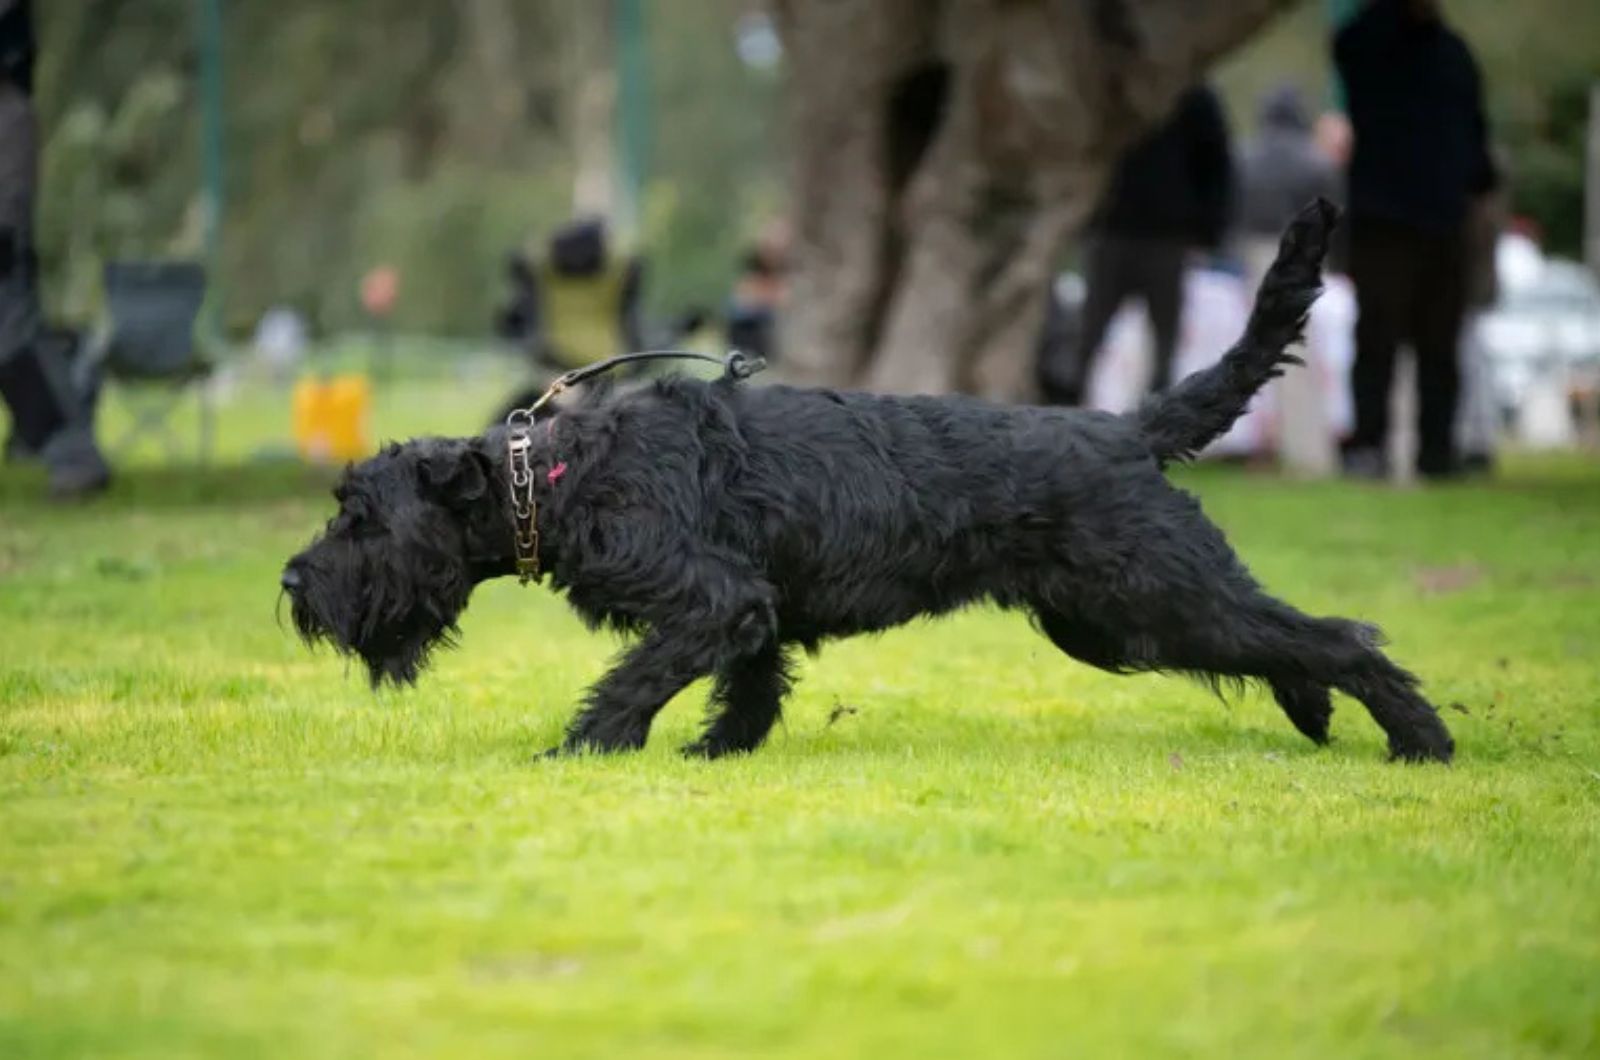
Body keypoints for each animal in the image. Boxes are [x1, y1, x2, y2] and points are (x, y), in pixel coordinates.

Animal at [281, 199, 1459, 765]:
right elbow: (749, 687)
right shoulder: (749, 610)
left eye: (359, 515)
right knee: (1287, 639)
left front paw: (580, 749)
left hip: (1154, 595)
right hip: (1113, 621)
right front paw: (717, 754)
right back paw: (1319, 711)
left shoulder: (709, 597)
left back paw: (1420, 740)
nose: (292, 583)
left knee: (1335, 634)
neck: (556, 474)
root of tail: (1128, 430)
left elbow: (635, 680)